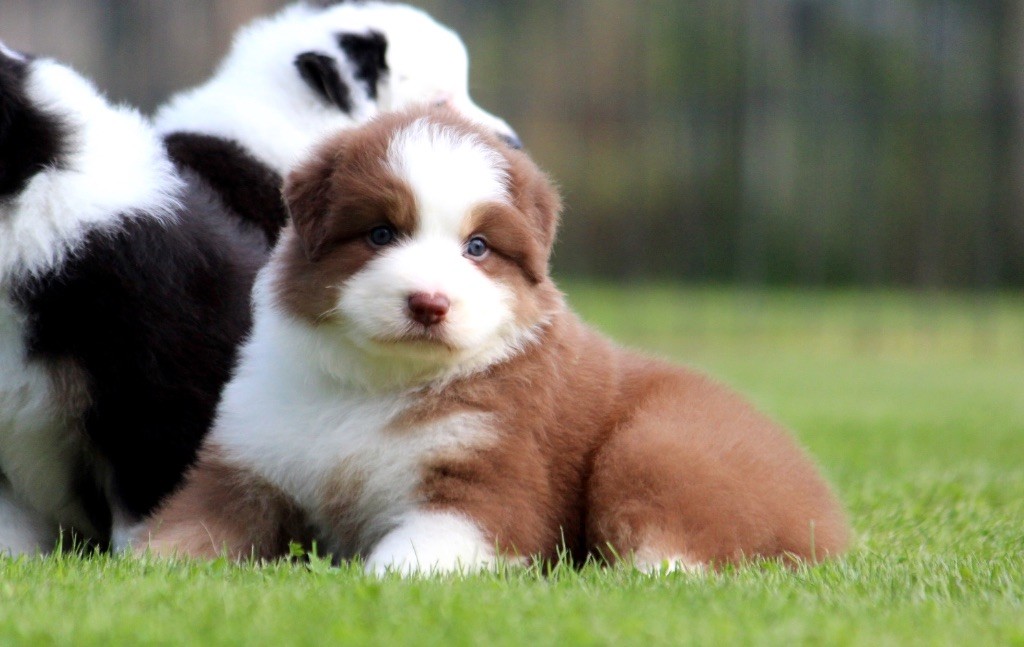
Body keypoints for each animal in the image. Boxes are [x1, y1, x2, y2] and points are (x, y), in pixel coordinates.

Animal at [137, 107, 850, 574]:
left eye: (477, 247)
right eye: (380, 234)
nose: (429, 303)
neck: (377, 384)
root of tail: (829, 514)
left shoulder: (488, 481)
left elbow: (406, 559)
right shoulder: (250, 461)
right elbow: (185, 535)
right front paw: (140, 575)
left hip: (657, 445)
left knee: (674, 557)